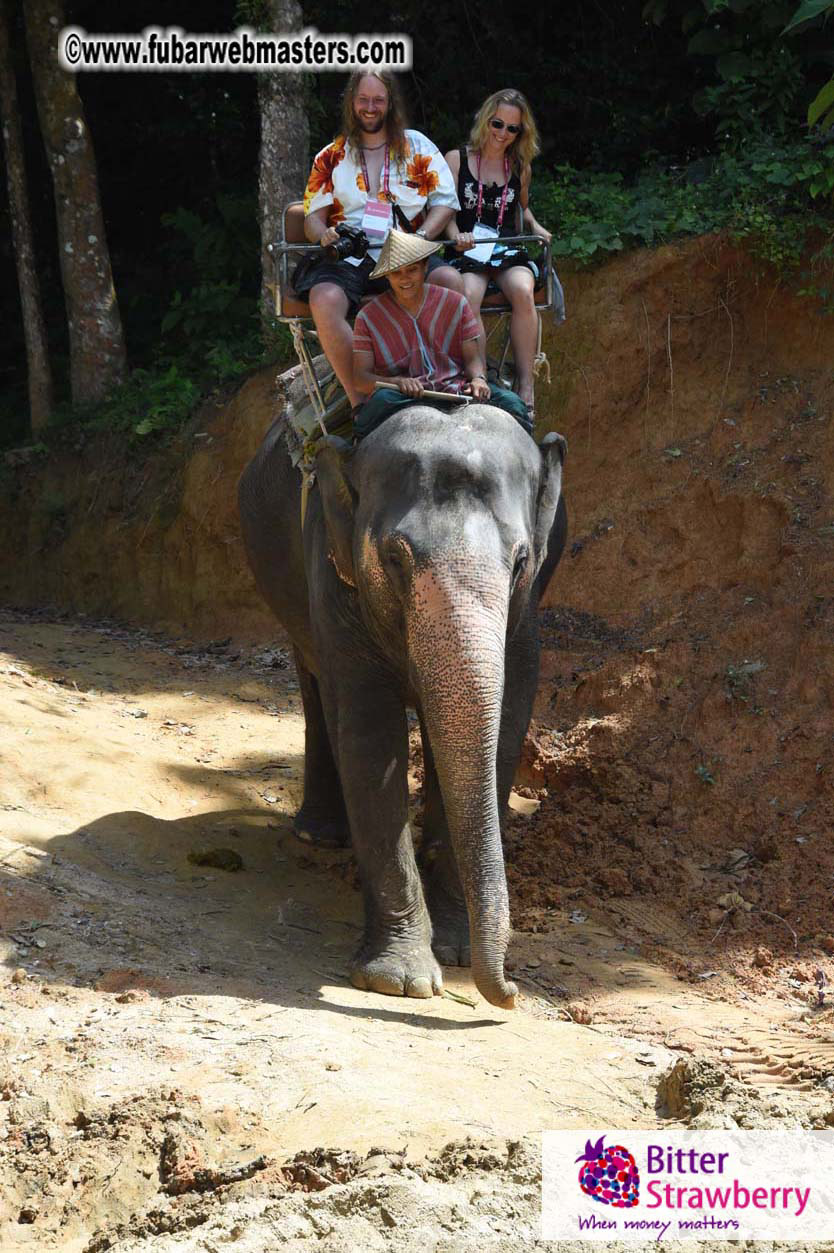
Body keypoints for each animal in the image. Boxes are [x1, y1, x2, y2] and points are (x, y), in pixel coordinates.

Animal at [238, 402, 567, 1009]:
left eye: (521, 561)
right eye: (394, 557)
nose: (510, 992)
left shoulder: (527, 620)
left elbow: (505, 728)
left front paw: (456, 955)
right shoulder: (334, 576)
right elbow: (370, 735)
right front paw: (401, 981)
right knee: (316, 684)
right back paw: (320, 835)